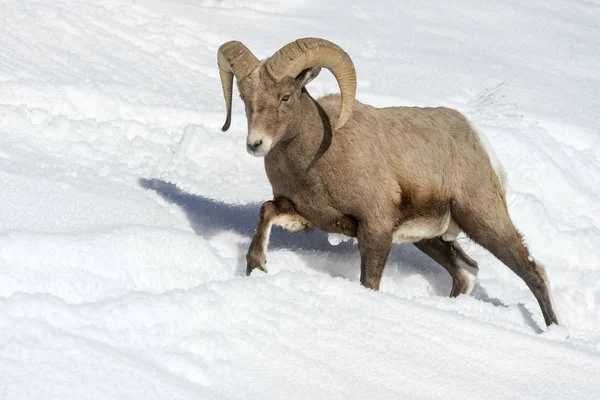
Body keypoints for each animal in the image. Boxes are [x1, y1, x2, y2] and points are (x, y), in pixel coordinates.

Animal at [218, 37, 560, 328]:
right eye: (245, 98)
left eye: (285, 97)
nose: (255, 144)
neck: (317, 159)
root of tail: (476, 137)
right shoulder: (303, 215)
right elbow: (266, 211)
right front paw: (257, 267)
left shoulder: (375, 229)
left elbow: (370, 282)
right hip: (431, 238)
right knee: (466, 271)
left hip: (483, 221)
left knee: (533, 272)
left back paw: (556, 331)